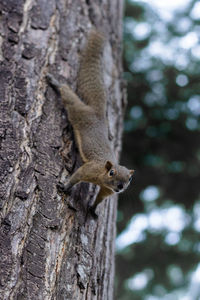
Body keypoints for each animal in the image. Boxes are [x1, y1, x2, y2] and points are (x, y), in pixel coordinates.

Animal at [46, 30, 134, 218]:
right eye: (112, 172)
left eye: (129, 179)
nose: (120, 187)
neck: (103, 176)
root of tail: (98, 114)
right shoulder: (89, 170)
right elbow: (76, 176)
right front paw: (65, 186)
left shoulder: (106, 191)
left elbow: (99, 199)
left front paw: (93, 209)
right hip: (79, 113)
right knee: (69, 97)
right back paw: (55, 82)